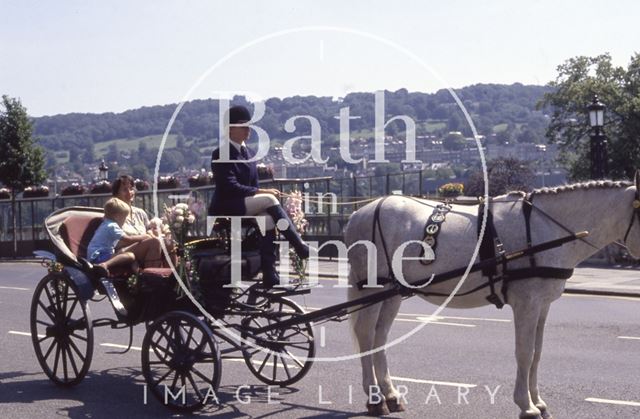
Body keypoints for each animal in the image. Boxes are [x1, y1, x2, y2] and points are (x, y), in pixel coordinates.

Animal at [344, 175, 640, 419]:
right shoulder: (526, 303)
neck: (546, 229)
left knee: (380, 337)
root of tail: (360, 212)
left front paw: (538, 402)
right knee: (367, 335)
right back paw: (374, 400)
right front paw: (527, 406)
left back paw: (390, 395)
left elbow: (537, 353)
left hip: (392, 293)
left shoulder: (542, 305)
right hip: (373, 289)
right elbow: (524, 352)